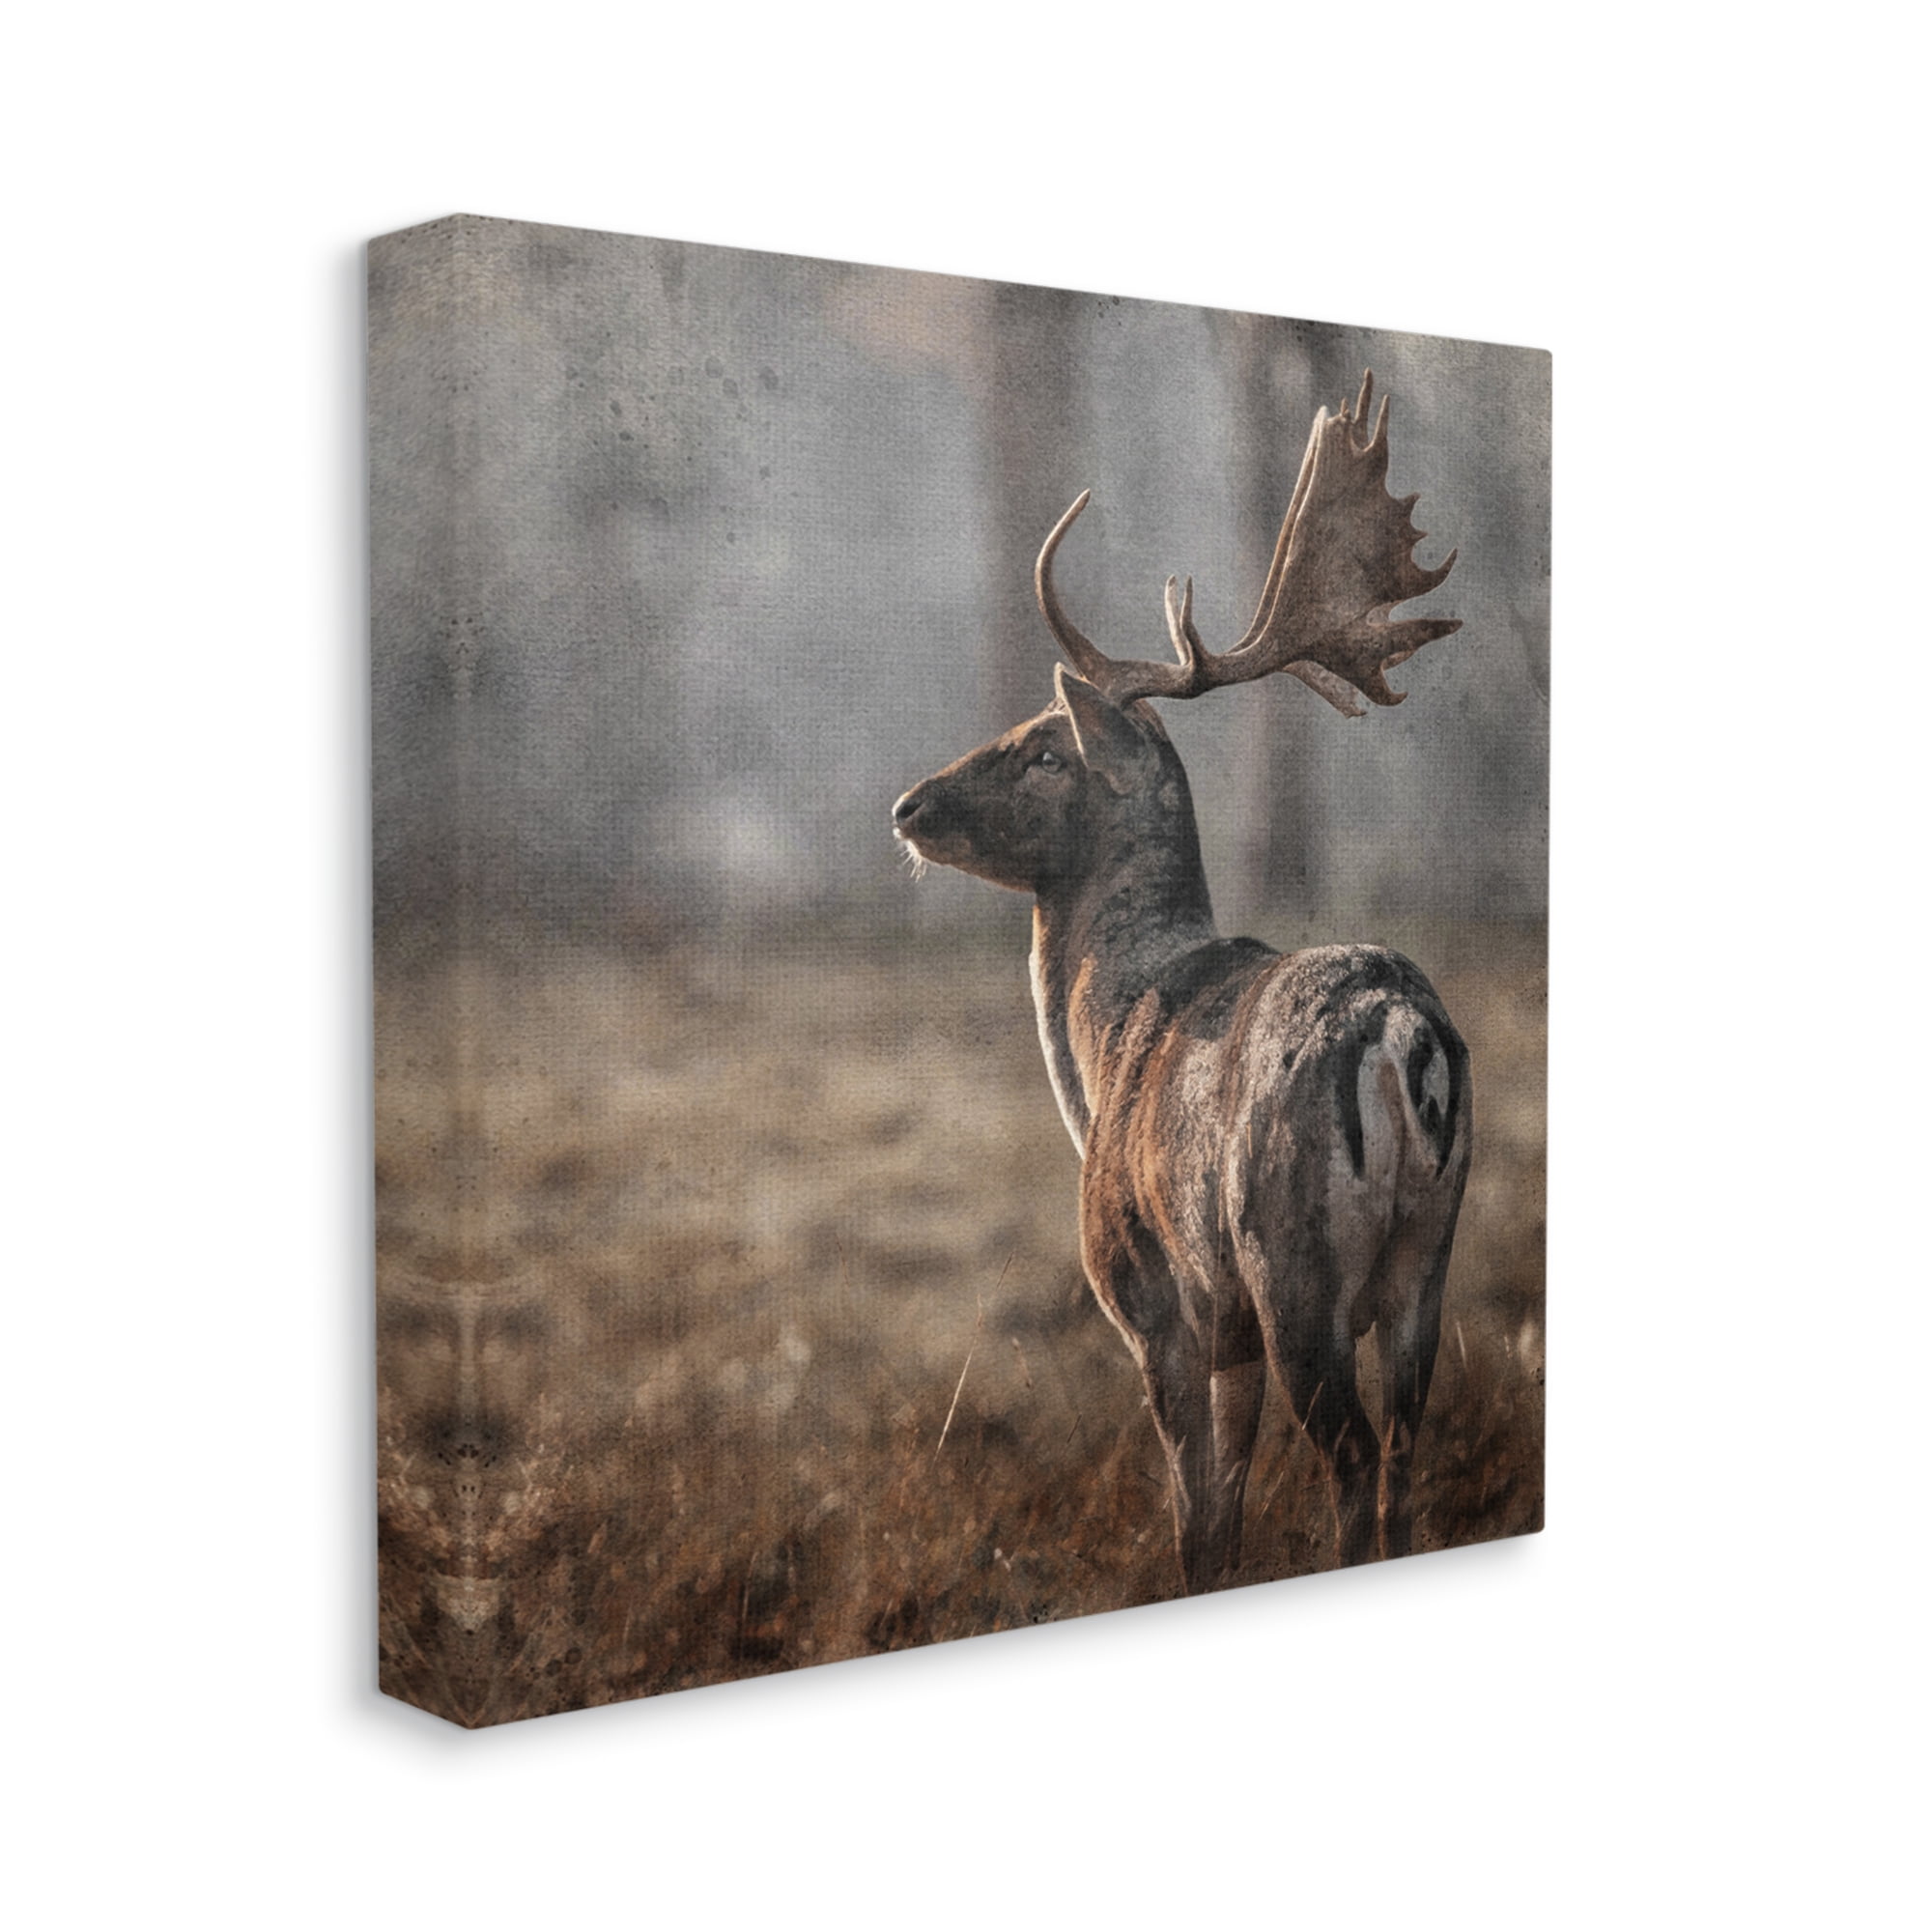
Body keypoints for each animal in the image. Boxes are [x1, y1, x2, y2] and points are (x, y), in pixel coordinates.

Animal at [892, 373, 1472, 1592]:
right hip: (1423, 1259)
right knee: (1404, 1452)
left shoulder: (1157, 1296)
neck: (1106, 1039)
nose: (908, 805)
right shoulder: (1230, 1335)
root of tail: (1404, 1038)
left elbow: (1192, 1519)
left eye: (1044, 747)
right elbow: (1228, 1516)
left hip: (1291, 1258)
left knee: (1353, 1456)